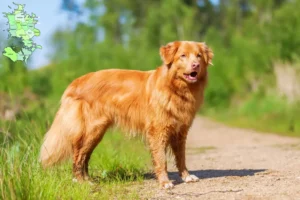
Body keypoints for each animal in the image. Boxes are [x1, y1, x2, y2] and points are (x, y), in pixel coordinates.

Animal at [39, 41, 213, 189]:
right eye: (183, 55)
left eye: (198, 56)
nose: (196, 65)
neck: (176, 88)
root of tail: (75, 82)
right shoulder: (158, 131)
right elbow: (161, 159)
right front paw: (165, 182)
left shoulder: (181, 131)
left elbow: (181, 157)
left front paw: (186, 176)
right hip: (91, 129)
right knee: (78, 155)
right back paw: (81, 181)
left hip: (96, 133)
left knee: (85, 156)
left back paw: (87, 179)